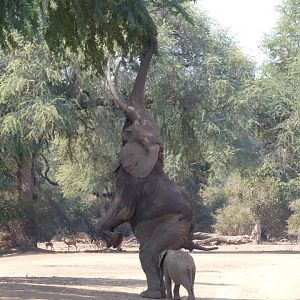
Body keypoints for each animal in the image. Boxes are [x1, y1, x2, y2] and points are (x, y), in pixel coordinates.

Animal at [97, 41, 217, 298]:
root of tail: (189, 236)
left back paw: (149, 294)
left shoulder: (130, 180)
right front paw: (113, 238)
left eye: (130, 125)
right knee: (150, 254)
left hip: (172, 226)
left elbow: (122, 210)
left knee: (147, 253)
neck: (154, 151)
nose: (153, 42)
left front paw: (113, 238)